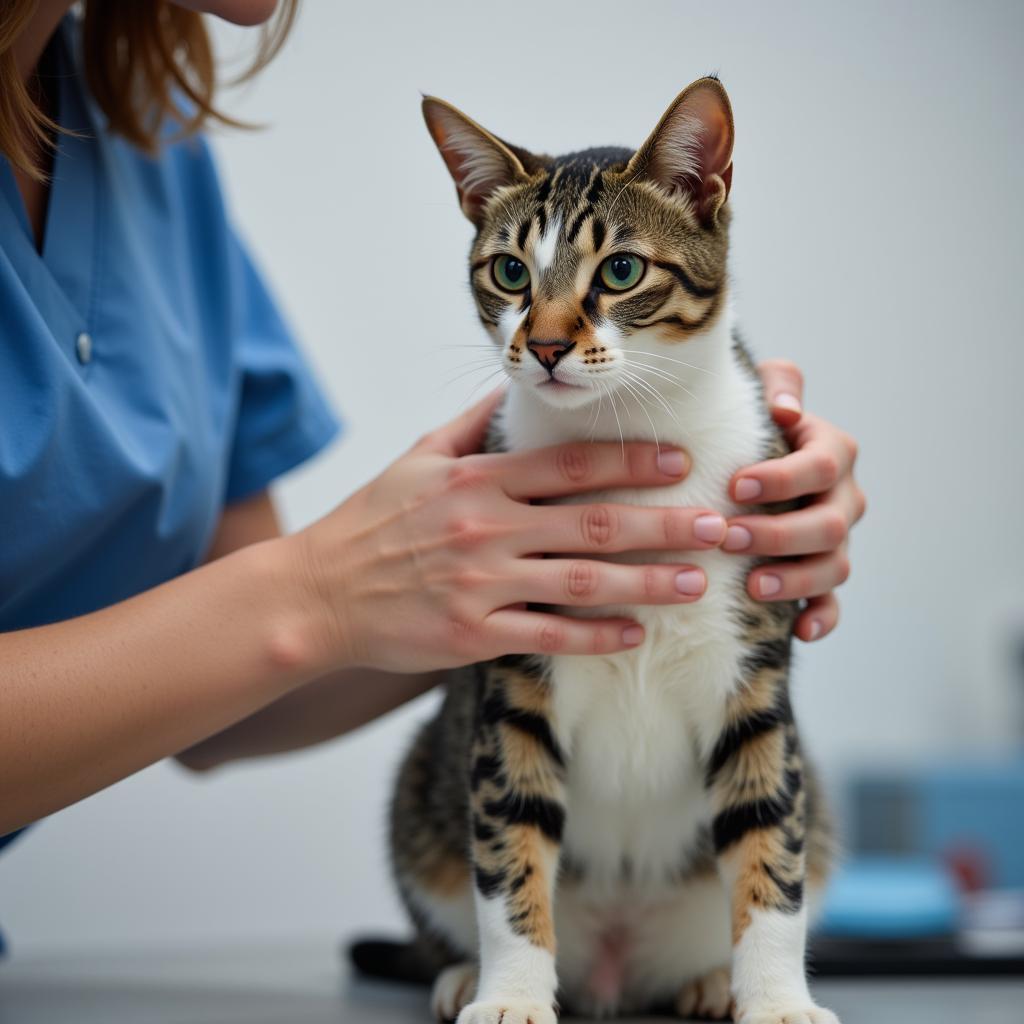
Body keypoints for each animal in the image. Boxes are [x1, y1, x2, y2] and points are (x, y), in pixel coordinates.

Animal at [354, 77, 839, 1024]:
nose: (542, 345)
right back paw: (463, 971)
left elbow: (771, 838)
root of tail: (616, 971)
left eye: (620, 270)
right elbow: (510, 843)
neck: (627, 436)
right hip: (421, 790)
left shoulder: (755, 671)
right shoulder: (512, 682)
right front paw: (510, 994)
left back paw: (709, 981)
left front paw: (776, 998)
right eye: (509, 271)